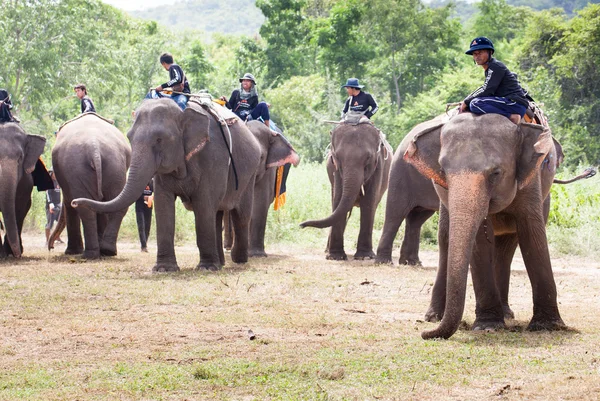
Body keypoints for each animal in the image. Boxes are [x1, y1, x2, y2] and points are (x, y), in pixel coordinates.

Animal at [50, 112, 132, 258]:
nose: (51, 247)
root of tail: (94, 147)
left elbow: (70, 203)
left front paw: (72, 252)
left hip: (80, 166)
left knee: (85, 208)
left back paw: (90, 254)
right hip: (115, 165)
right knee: (113, 203)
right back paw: (107, 251)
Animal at [300, 122, 394, 260]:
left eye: (368, 158)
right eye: (336, 157)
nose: (301, 225)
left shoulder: (378, 168)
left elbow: (369, 202)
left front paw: (365, 257)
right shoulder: (335, 170)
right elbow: (338, 198)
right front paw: (335, 257)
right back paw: (327, 251)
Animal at [404, 111, 568, 338]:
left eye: (496, 173)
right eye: (443, 172)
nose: (425, 334)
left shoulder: (531, 181)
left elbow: (532, 233)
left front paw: (547, 326)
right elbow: (479, 241)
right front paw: (487, 326)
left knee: (507, 247)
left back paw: (506, 314)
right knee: (445, 238)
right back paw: (434, 317)